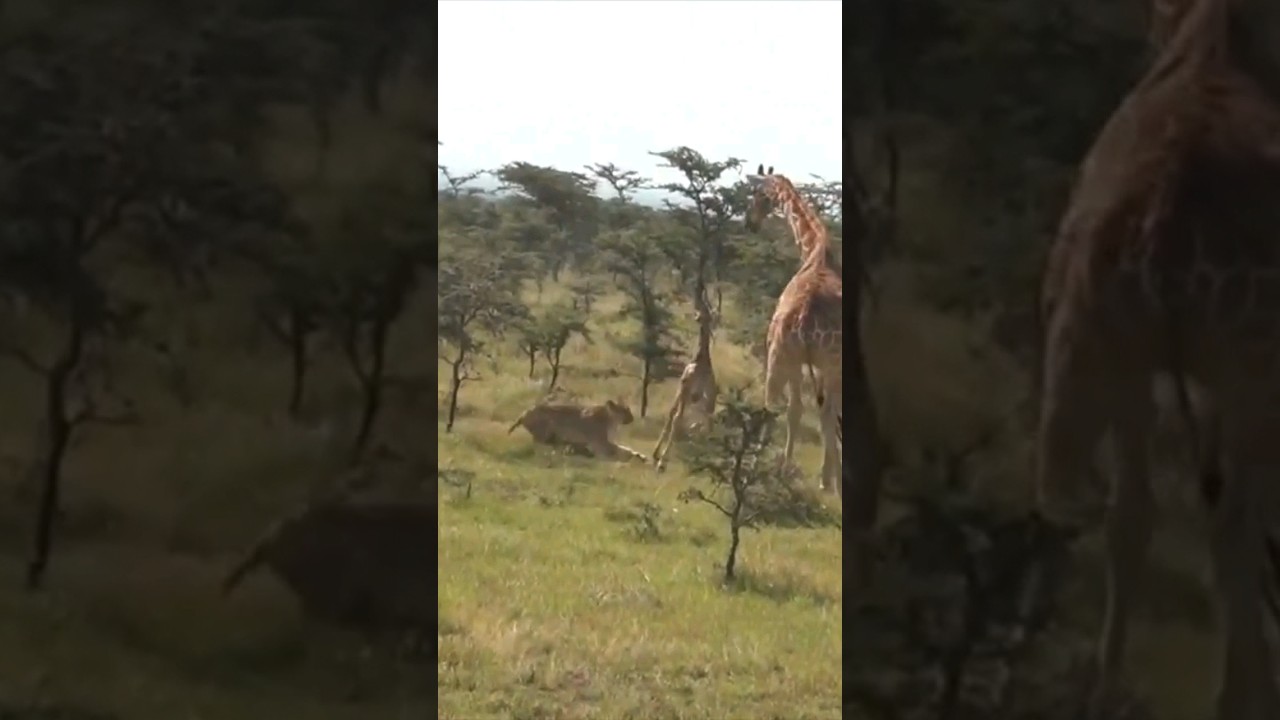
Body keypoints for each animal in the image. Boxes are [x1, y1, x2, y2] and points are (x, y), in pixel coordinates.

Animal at [508, 399, 647, 461]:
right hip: (546, 430)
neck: (611, 419)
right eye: (625, 411)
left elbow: (624, 448)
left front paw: (640, 455)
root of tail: (525, 412)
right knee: (539, 446)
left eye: (628, 410)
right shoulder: (600, 444)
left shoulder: (604, 442)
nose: (632, 418)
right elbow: (618, 451)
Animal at [651, 282, 718, 469]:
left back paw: (663, 460)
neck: (701, 359)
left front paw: (659, 455)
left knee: (682, 419)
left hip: (694, 396)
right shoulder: (686, 392)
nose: (695, 316)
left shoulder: (684, 388)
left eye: (702, 314)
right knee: (703, 422)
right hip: (700, 400)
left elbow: (673, 416)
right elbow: (671, 414)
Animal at [745, 165, 842, 494]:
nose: (750, 221)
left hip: (781, 353)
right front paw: (828, 477)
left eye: (757, 192)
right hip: (807, 360)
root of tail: (803, 315)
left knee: (775, 406)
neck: (815, 250)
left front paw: (827, 478)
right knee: (808, 411)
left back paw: (757, 469)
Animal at [1035, 0, 1280, 717]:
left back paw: (1105, 689)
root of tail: (1163, 219)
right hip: (1245, 372)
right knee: (1227, 527)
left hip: (1106, 351)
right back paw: (1240, 694)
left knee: (1130, 517)